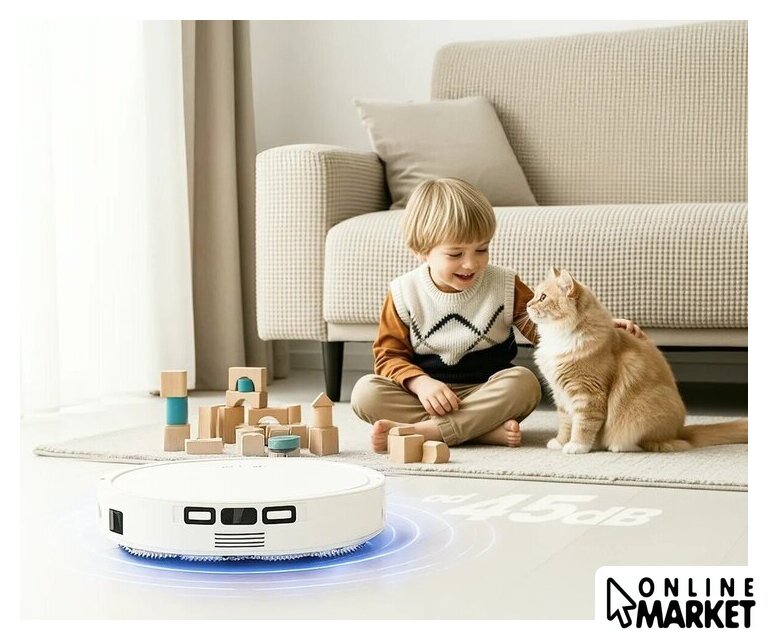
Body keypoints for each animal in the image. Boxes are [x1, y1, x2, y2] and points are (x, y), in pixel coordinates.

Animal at [526, 268, 747, 454]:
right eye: (534, 295)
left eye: (542, 297)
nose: (528, 304)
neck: (559, 336)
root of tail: (681, 431)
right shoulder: (561, 394)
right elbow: (566, 423)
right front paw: (560, 442)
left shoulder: (587, 393)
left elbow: (582, 424)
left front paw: (576, 446)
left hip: (642, 412)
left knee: (657, 444)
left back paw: (617, 446)